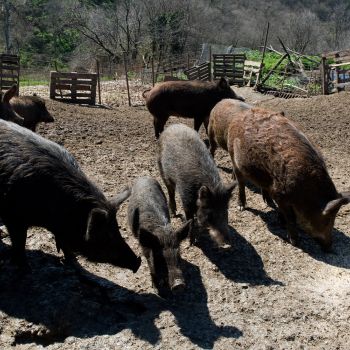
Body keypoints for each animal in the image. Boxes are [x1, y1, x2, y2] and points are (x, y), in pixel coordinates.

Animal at [0, 119, 142, 272]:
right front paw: (26, 268)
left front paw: (72, 260)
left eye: (117, 227)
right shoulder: (13, 217)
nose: (138, 261)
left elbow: (63, 241)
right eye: (106, 234)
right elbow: (20, 242)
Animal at [227, 108, 350, 250]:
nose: (329, 247)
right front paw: (295, 242)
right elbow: (290, 217)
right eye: (328, 220)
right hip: (234, 158)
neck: (305, 191)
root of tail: (241, 114)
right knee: (240, 183)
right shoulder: (280, 193)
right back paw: (241, 207)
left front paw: (280, 220)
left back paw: (268, 202)